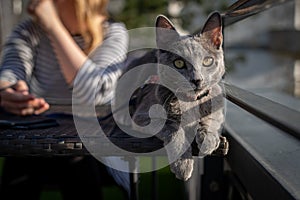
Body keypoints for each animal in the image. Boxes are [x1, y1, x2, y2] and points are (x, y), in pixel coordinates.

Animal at [123, 12, 229, 181]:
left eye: (207, 61)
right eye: (179, 63)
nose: (197, 80)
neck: (190, 103)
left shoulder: (216, 106)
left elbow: (211, 119)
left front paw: (208, 140)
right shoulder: (143, 116)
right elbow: (173, 127)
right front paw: (183, 166)